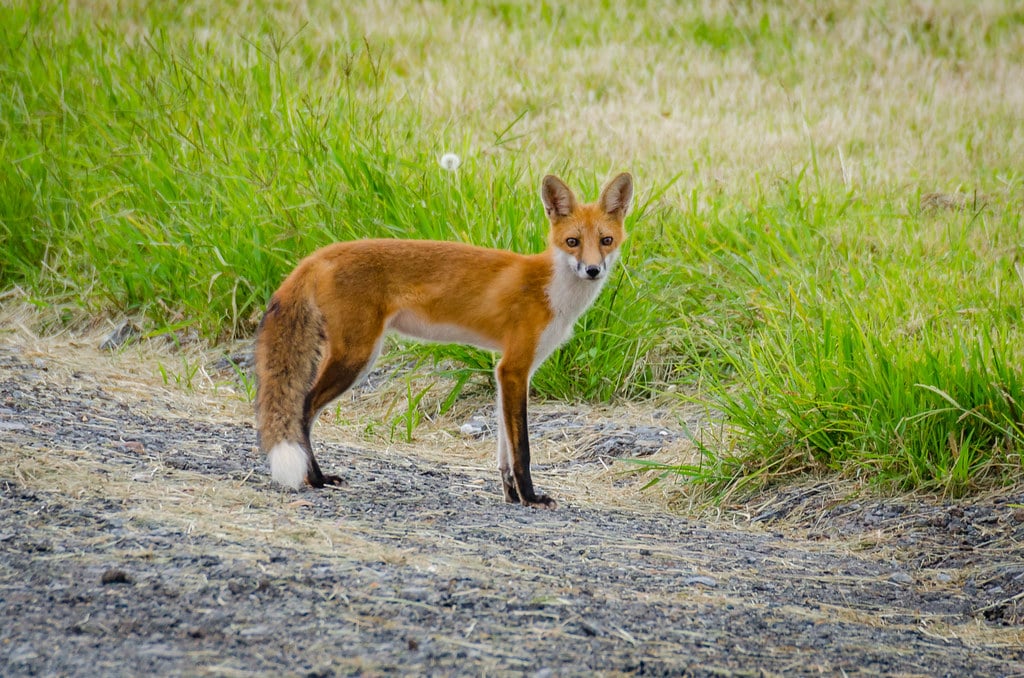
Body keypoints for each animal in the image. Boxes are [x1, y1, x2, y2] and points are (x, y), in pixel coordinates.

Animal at [254, 172, 633, 508]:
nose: (593, 270)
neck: (551, 289)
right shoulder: (515, 367)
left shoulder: (506, 372)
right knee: (303, 409)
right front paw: (531, 498)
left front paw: (512, 496)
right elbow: (521, 449)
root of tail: (320, 254)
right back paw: (315, 478)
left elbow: (504, 451)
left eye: (605, 241)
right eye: (572, 242)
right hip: (356, 358)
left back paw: (315, 477)